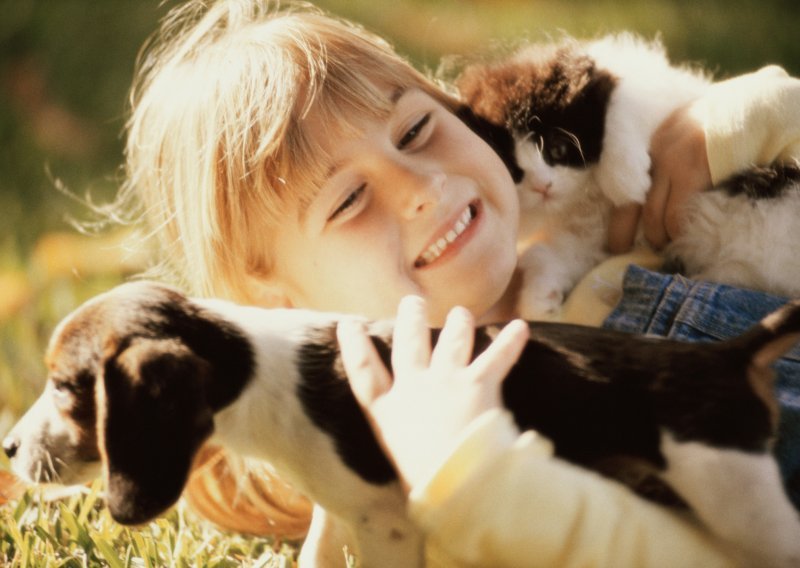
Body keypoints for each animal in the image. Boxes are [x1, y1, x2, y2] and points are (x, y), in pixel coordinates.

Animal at [4, 282, 800, 564]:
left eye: (66, 387)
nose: (7, 446)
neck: (255, 367)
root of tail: (726, 355)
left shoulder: (388, 523)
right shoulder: (341, 510)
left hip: (736, 494)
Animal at [460, 34, 800, 320]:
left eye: (558, 149)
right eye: (515, 172)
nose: (543, 186)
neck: (589, 194)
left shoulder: (664, 99)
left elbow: (620, 106)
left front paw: (625, 182)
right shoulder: (593, 241)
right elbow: (551, 254)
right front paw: (537, 301)